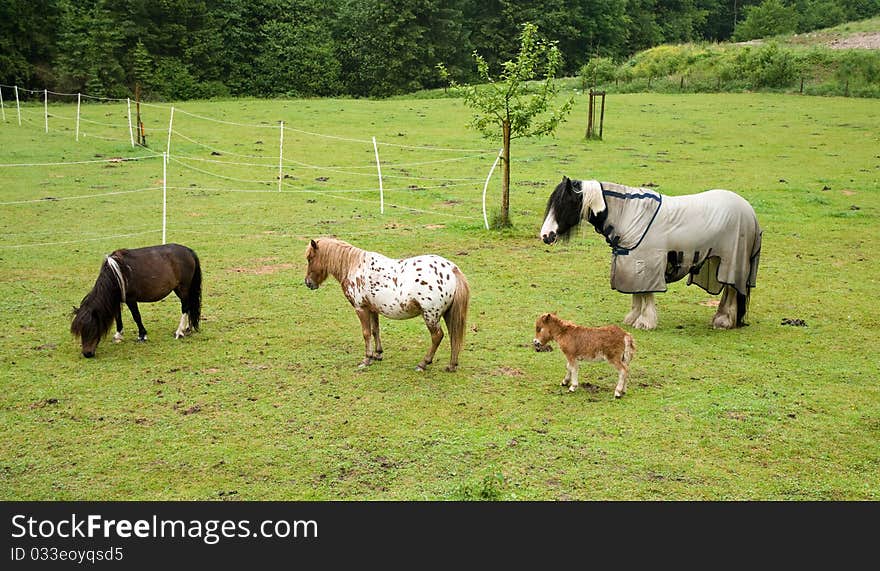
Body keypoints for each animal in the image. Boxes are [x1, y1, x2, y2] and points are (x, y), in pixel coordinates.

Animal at [71, 244, 203, 360]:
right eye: (81, 331)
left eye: (93, 328)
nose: (87, 354)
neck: (117, 274)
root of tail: (189, 251)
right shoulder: (117, 300)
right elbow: (118, 317)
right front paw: (118, 335)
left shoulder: (131, 299)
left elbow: (136, 317)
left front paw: (142, 336)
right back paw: (186, 328)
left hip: (183, 288)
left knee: (185, 307)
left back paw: (179, 332)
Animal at [304, 237, 470, 370]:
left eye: (310, 258)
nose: (308, 283)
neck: (353, 267)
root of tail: (452, 270)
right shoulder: (372, 309)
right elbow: (375, 330)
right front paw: (377, 354)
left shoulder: (361, 309)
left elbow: (366, 333)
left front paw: (366, 359)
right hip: (447, 314)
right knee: (453, 335)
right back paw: (452, 365)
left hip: (430, 316)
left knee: (437, 336)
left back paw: (423, 363)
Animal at [540, 178, 760, 330]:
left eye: (564, 204)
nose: (545, 235)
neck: (628, 213)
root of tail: (749, 210)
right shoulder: (631, 264)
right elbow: (637, 294)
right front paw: (633, 318)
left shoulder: (646, 263)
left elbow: (646, 295)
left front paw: (645, 321)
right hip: (717, 261)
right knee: (728, 289)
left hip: (732, 261)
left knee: (732, 289)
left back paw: (724, 321)